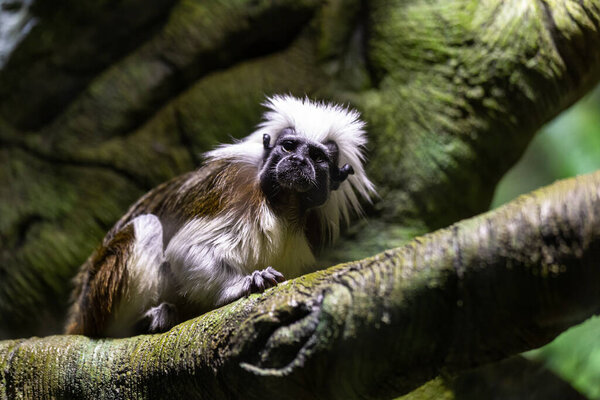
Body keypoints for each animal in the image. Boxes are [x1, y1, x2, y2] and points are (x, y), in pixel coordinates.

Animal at [65, 94, 376, 338]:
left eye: (316, 156)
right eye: (289, 146)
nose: (298, 161)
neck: (283, 205)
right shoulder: (233, 187)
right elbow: (186, 249)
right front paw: (243, 284)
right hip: (99, 296)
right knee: (147, 225)